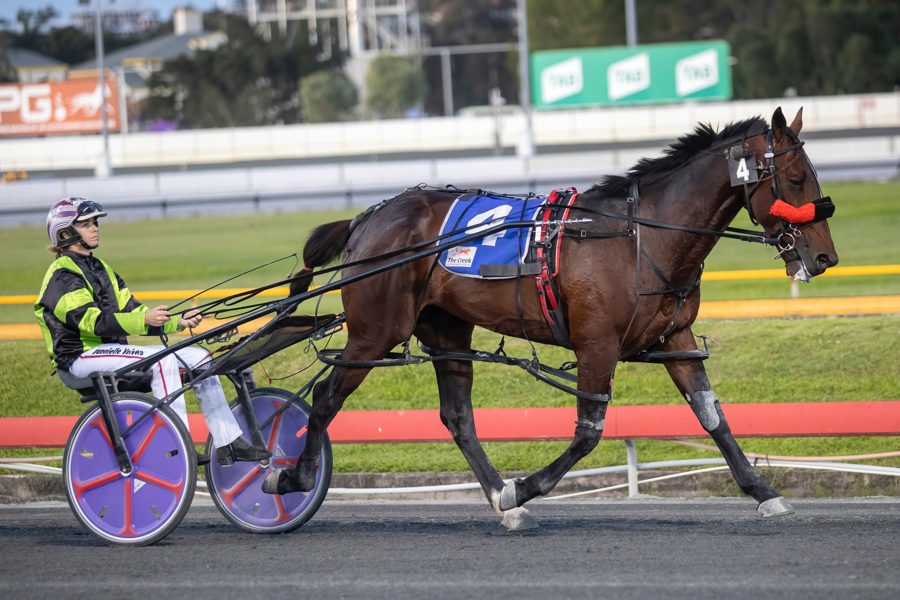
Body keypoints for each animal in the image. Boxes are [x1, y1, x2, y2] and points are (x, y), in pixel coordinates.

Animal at [263, 107, 839, 529]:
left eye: (811, 176)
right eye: (794, 179)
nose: (824, 257)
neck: (641, 237)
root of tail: (368, 217)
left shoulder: (676, 336)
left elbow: (712, 416)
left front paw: (764, 492)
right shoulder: (596, 344)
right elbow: (588, 434)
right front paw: (525, 487)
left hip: (445, 328)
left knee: (458, 417)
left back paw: (499, 498)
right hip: (376, 332)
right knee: (326, 397)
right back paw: (291, 478)